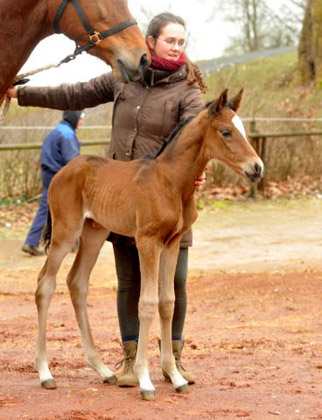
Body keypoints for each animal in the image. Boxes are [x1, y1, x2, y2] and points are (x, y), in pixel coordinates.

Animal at [34, 89, 264, 400]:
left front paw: (175, 376)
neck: (170, 182)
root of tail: (64, 171)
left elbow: (167, 303)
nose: (257, 168)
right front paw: (145, 380)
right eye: (226, 131)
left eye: (243, 130)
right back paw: (45, 372)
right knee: (45, 284)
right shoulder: (147, 241)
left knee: (77, 282)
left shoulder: (171, 244)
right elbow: (146, 303)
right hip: (66, 232)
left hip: (94, 234)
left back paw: (103, 370)